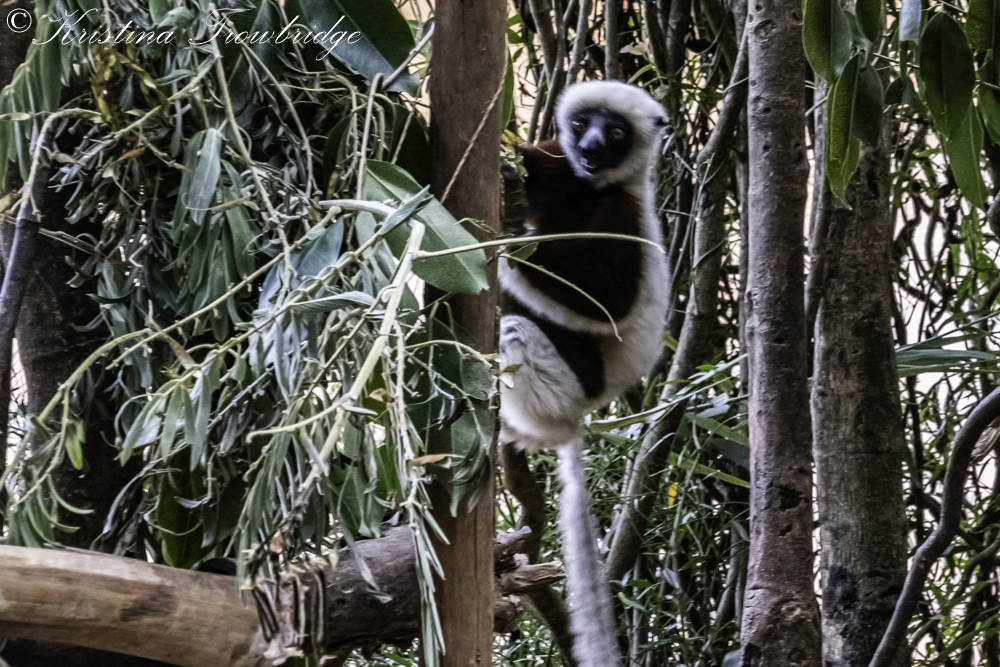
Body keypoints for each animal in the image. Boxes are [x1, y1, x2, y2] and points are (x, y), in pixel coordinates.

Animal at [498, 81, 668, 667]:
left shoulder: (623, 210)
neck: (591, 187)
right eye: (580, 125)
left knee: (514, 321)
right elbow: (537, 166)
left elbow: (604, 301)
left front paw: (500, 242)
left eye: (615, 132)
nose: (591, 148)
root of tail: (579, 414)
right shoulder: (561, 171)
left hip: (573, 378)